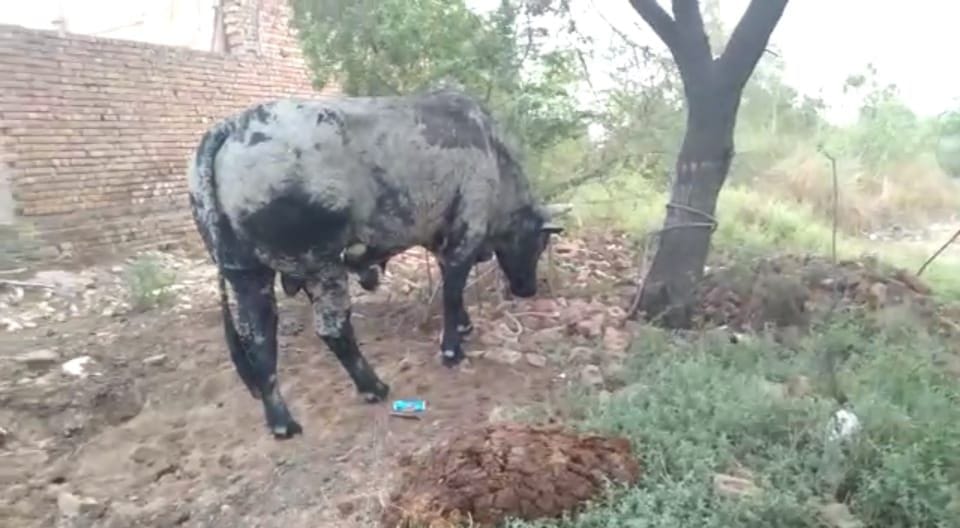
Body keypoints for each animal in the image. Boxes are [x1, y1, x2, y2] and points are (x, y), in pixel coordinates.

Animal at [187, 88, 566, 439]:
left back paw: (281, 421)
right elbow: (452, 292)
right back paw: (372, 387)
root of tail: (232, 125)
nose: (528, 289)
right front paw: (451, 350)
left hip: (247, 276)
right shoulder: (465, 236)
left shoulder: (439, 240)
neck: (494, 153)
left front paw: (463, 326)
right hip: (321, 266)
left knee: (260, 342)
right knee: (333, 329)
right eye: (539, 242)